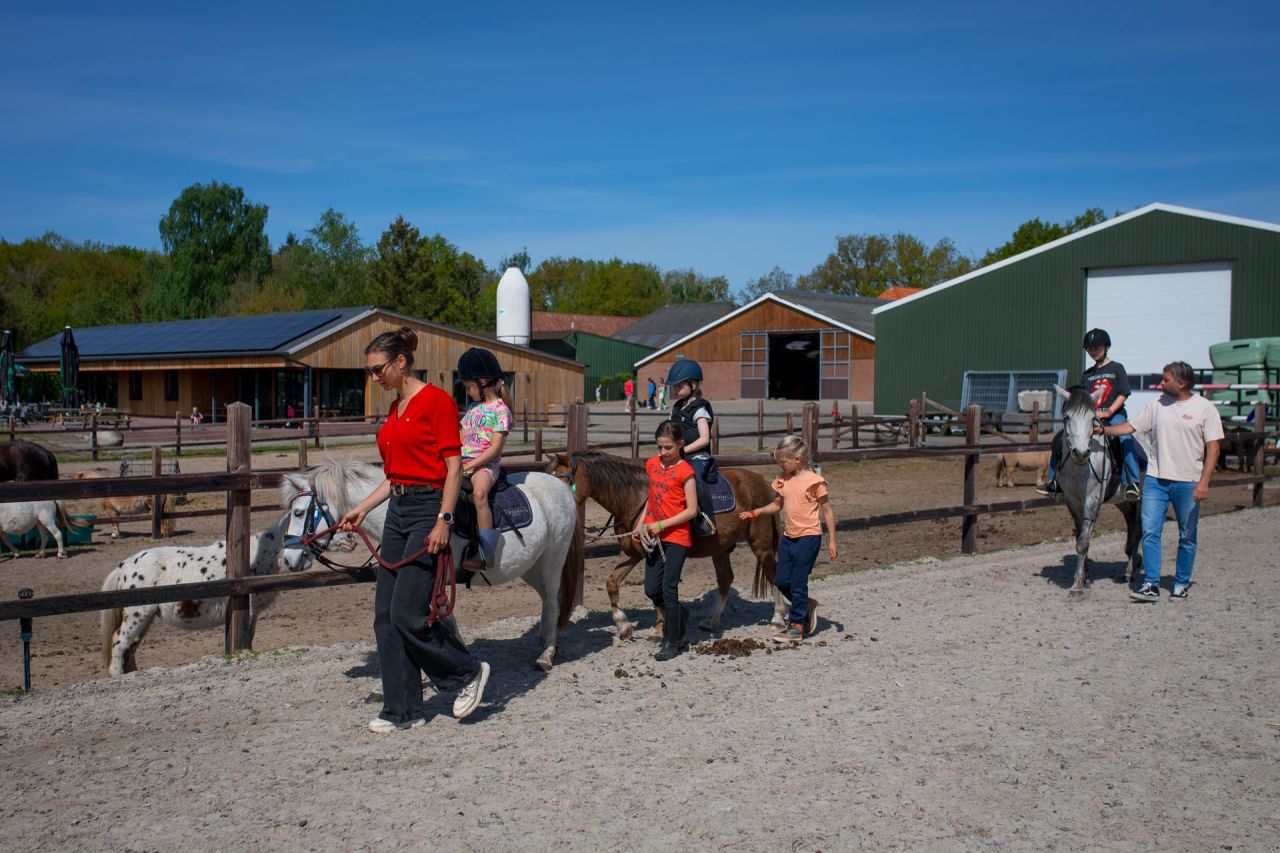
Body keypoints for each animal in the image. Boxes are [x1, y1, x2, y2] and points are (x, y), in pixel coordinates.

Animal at [100, 514, 295, 675]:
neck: (258, 555)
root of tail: (124, 566)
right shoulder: (249, 609)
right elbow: (247, 638)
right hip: (137, 614)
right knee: (119, 642)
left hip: (145, 618)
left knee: (131, 646)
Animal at [278, 459, 584, 671]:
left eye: (299, 513)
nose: (287, 559)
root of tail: (560, 486)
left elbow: (443, 620)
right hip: (532, 567)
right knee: (547, 601)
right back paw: (544, 642)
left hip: (552, 560)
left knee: (553, 601)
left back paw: (546, 655)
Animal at [547, 450, 783, 639]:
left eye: (560, 481)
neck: (636, 498)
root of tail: (763, 482)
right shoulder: (631, 552)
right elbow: (612, 583)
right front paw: (624, 626)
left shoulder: (653, 555)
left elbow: (655, 591)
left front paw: (659, 629)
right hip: (721, 548)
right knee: (726, 579)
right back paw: (710, 622)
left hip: (760, 543)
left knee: (773, 574)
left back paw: (778, 619)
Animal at [1053, 384, 1142, 595]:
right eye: (1067, 417)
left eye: (1092, 418)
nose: (1080, 452)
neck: (1079, 467)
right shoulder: (1072, 500)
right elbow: (1080, 536)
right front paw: (1084, 576)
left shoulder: (1092, 498)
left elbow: (1083, 542)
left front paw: (1077, 585)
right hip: (1123, 500)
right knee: (1131, 522)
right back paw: (1132, 561)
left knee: (1138, 529)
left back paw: (1129, 571)